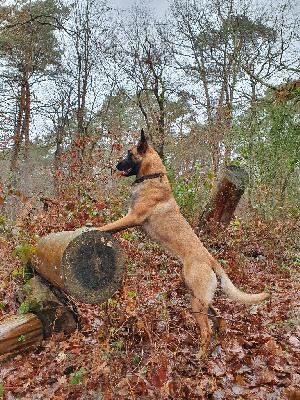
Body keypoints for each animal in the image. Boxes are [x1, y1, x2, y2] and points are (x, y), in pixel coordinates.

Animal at [100, 130, 270, 358]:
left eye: (129, 153)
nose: (116, 166)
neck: (153, 176)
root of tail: (209, 258)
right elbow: (111, 227)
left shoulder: (132, 217)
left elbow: (106, 226)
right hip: (200, 298)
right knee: (219, 318)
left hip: (196, 300)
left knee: (206, 330)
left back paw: (199, 357)